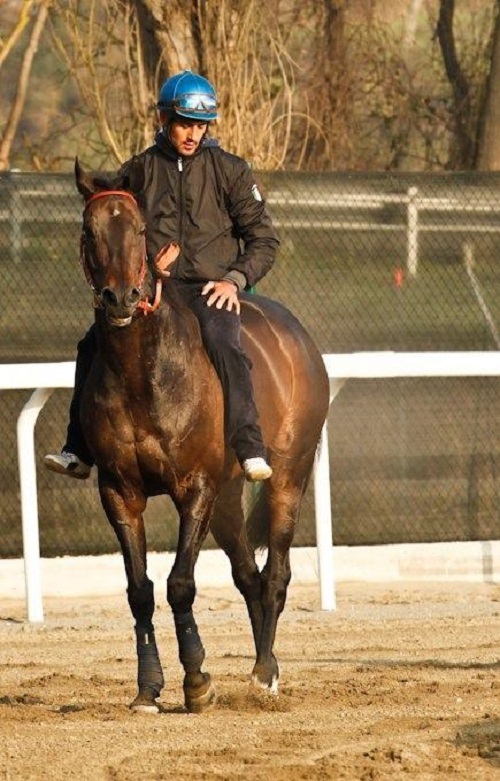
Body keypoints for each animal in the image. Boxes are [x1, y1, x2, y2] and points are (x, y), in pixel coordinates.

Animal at [76, 158, 330, 712]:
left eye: (141, 230)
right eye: (90, 230)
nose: (121, 298)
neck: (144, 373)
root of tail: (299, 338)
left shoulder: (195, 487)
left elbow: (180, 584)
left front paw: (196, 679)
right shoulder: (119, 492)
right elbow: (140, 590)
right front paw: (148, 688)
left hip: (287, 477)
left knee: (275, 573)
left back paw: (263, 673)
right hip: (230, 498)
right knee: (248, 574)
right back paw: (265, 665)